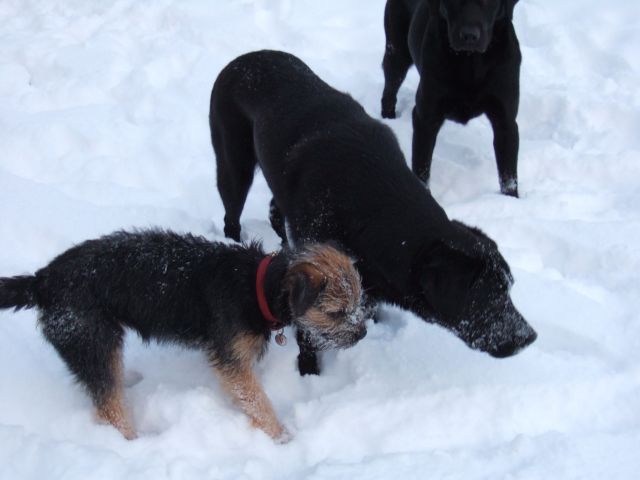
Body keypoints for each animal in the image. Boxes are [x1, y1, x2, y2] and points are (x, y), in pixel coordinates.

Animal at [0, 231, 364, 440]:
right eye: (336, 312)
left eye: (358, 302)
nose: (361, 334)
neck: (257, 286)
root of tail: (42, 281)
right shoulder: (231, 358)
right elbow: (255, 398)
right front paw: (279, 436)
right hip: (91, 338)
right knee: (109, 408)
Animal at [210, 50, 536, 376]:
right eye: (489, 295)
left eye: (510, 288)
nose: (529, 337)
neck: (374, 211)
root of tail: (243, 59)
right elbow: (310, 327)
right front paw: (309, 370)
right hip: (233, 164)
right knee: (231, 215)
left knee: (275, 210)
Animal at [380, 0, 520, 197]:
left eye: (489, 2)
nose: (469, 36)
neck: (470, 63)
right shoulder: (425, 117)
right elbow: (421, 167)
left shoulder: (506, 121)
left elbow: (508, 175)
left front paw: (511, 200)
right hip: (396, 52)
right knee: (389, 90)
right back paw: (388, 118)